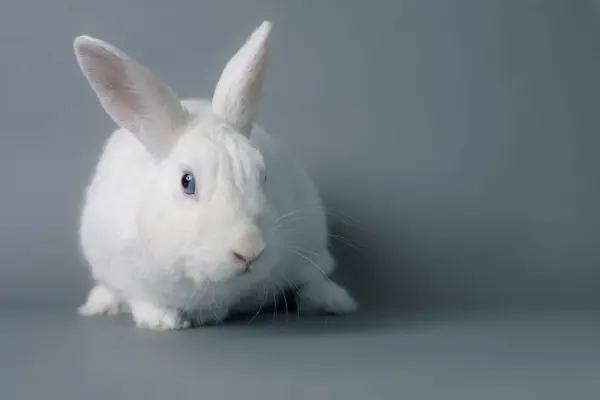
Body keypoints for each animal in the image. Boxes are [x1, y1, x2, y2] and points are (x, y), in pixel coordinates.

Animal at [74, 20, 356, 330]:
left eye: (263, 176)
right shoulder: (124, 271)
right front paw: (163, 321)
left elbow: (307, 281)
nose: (249, 249)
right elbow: (141, 299)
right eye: (187, 182)